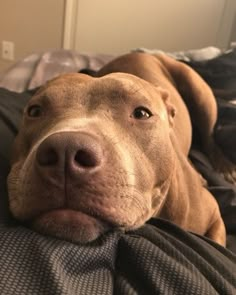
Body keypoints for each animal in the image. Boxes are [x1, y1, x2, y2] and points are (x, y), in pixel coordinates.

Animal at [7, 52, 229, 245]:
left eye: (142, 113)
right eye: (35, 111)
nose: (65, 151)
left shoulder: (215, 216)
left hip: (200, 94)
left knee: (209, 137)